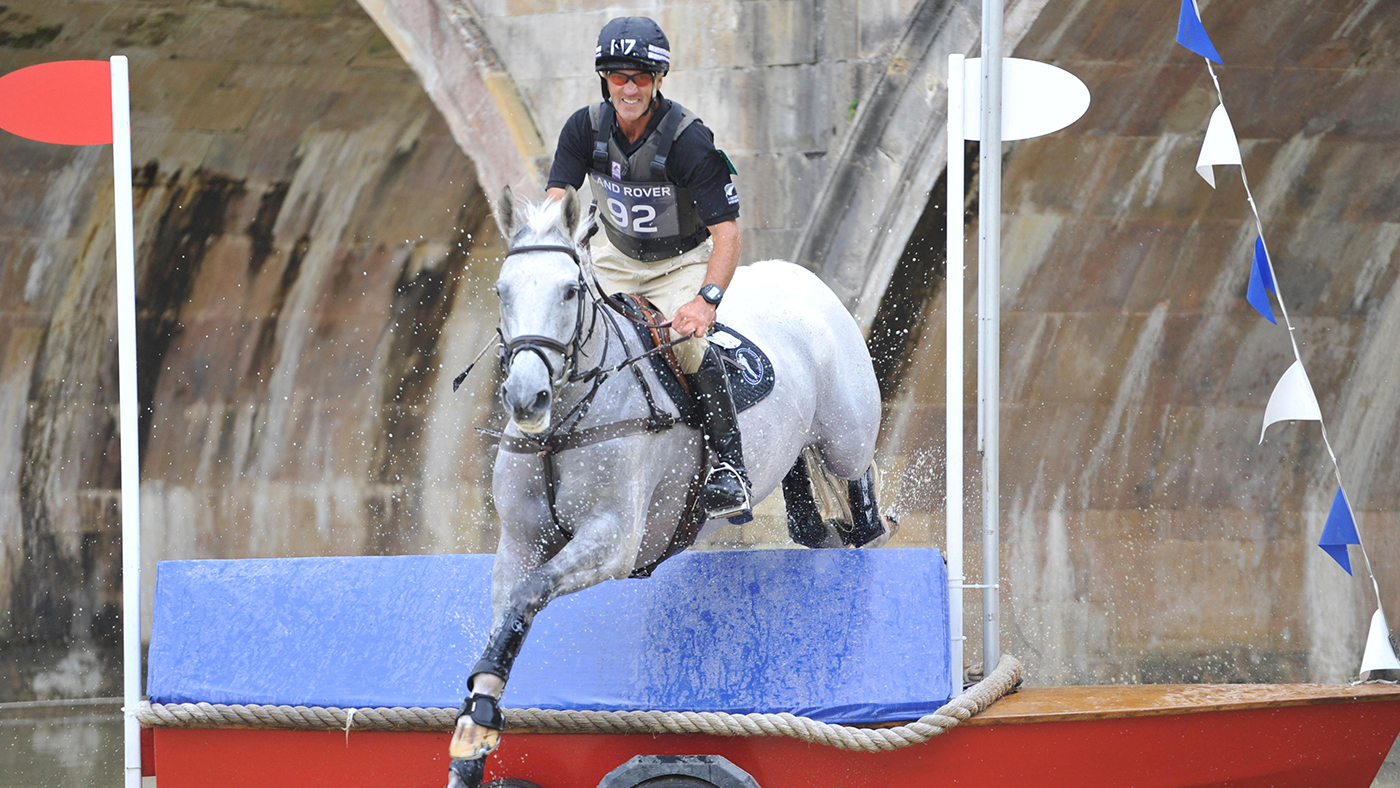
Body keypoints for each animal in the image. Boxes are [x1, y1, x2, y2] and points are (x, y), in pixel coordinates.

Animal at [448, 187, 884, 783]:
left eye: (569, 290)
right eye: (501, 291)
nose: (525, 398)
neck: (562, 424)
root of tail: (799, 275)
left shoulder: (613, 540)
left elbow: (530, 592)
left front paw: (480, 717)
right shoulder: (519, 542)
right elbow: (510, 606)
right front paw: (476, 728)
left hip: (844, 427)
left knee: (857, 474)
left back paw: (865, 524)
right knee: (804, 505)